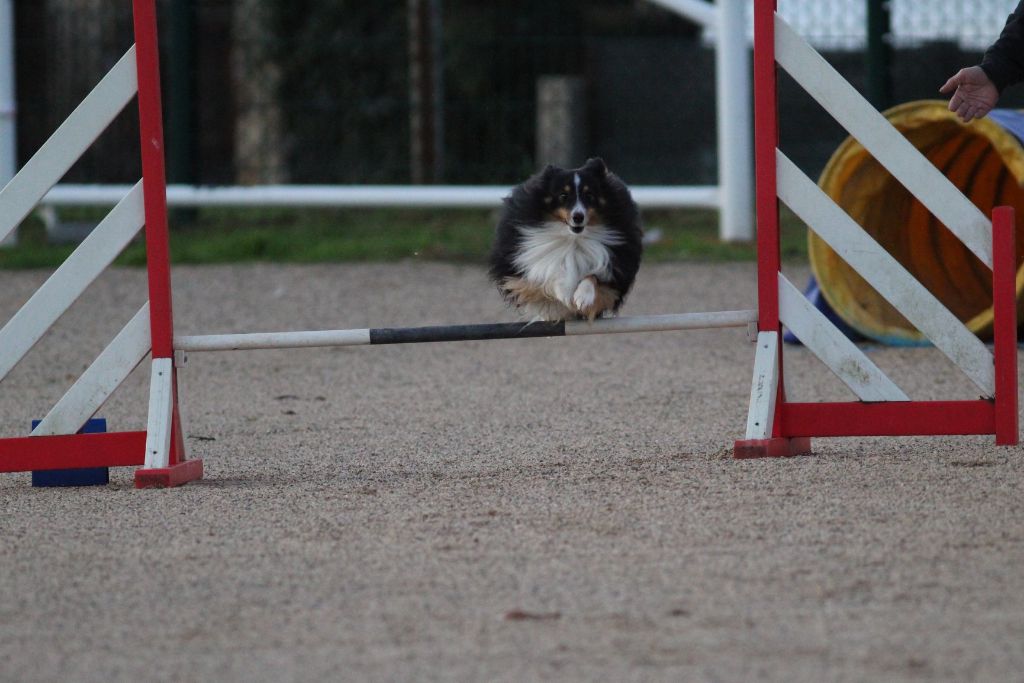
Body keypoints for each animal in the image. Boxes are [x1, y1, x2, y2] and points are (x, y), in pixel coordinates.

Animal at [487, 157, 638, 323]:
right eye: (563, 196)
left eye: (589, 195)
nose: (578, 217)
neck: (572, 238)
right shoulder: (526, 269)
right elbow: (551, 272)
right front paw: (565, 291)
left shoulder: (614, 271)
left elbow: (593, 276)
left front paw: (582, 298)